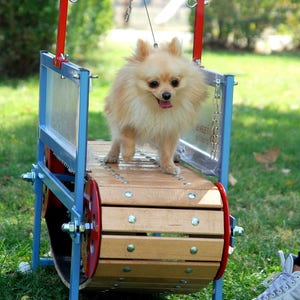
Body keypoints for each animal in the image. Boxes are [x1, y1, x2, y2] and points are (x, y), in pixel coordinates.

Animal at [103, 37, 206, 175]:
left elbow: (167, 150)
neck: (154, 108)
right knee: (116, 140)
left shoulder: (170, 127)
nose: (167, 95)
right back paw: (112, 156)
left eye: (175, 82)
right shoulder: (127, 115)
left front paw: (169, 166)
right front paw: (127, 154)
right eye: (153, 83)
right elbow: (127, 134)